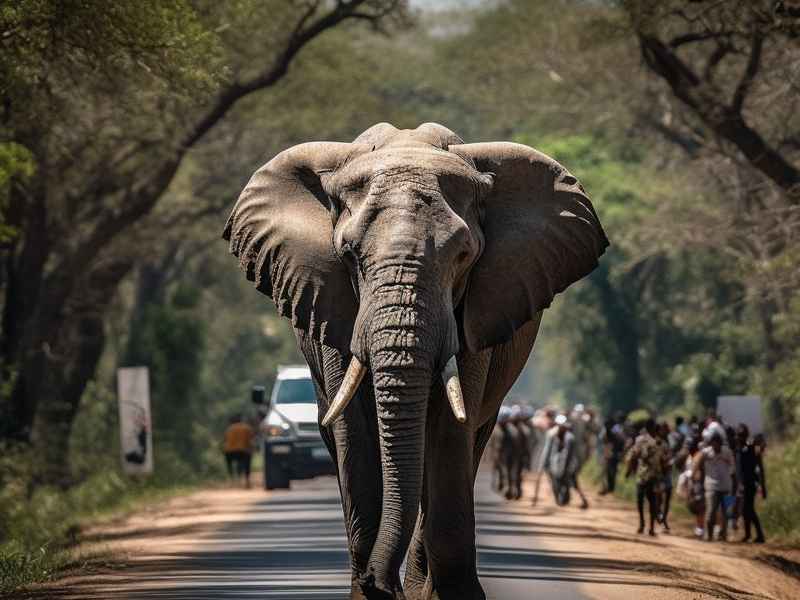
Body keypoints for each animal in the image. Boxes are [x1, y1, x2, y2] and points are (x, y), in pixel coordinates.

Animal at [223, 122, 608, 600]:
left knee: (468, 440)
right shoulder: (332, 301)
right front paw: (369, 594)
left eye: (463, 256)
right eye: (348, 254)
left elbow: (449, 428)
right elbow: (355, 430)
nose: (382, 585)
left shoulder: (476, 310)